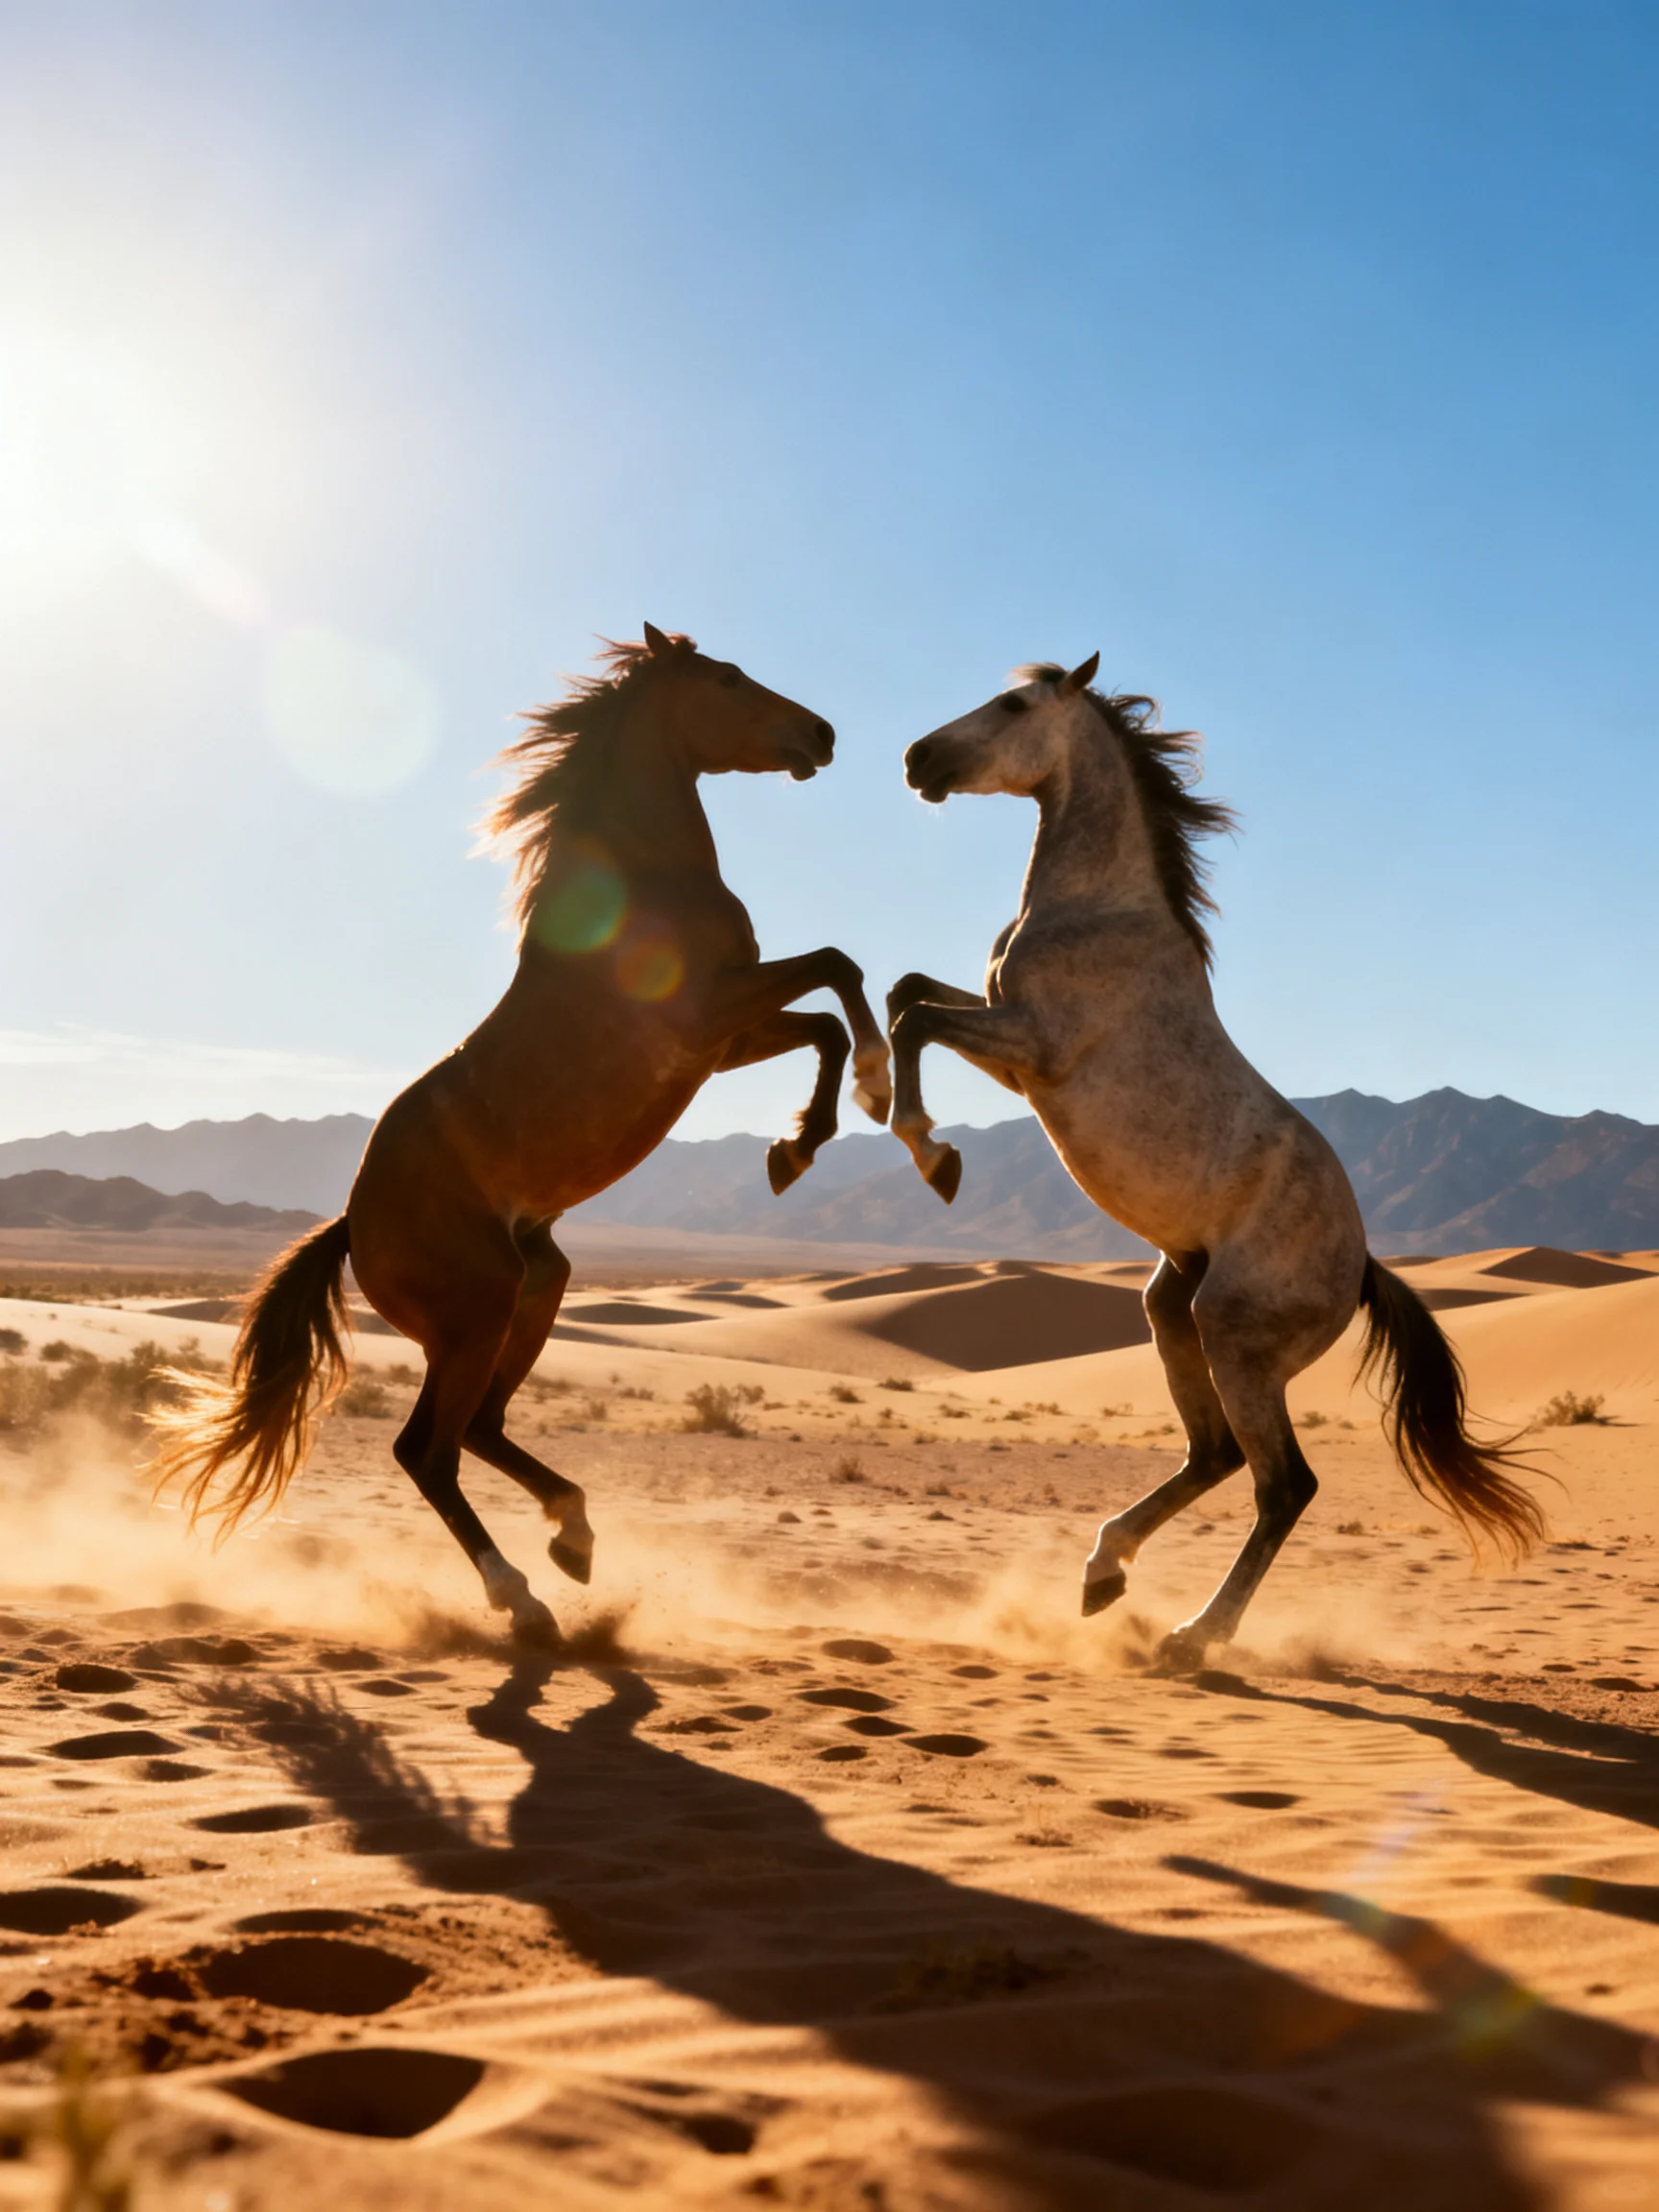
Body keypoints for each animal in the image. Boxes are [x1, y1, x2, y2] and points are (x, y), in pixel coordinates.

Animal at [150, 626, 893, 1642]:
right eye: (728, 679)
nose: (820, 734)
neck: (642, 882)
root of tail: (353, 1226)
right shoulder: (708, 1015)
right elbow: (836, 968)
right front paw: (864, 1096)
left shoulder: (723, 1041)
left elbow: (823, 1015)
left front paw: (797, 1147)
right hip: (478, 1313)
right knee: (428, 1449)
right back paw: (521, 1595)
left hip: (537, 1284)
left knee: (478, 1431)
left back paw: (571, 1538)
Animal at [886, 654, 1542, 1667]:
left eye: (1014, 704)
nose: (919, 759)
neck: (1100, 909)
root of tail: (1359, 1267)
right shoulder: (1004, 1045)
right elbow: (904, 992)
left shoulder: (1033, 1049)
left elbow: (913, 1014)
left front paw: (932, 1154)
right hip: (1174, 1304)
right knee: (1216, 1454)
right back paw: (1103, 1576)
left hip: (1234, 1334)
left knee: (1283, 1484)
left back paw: (1194, 1636)